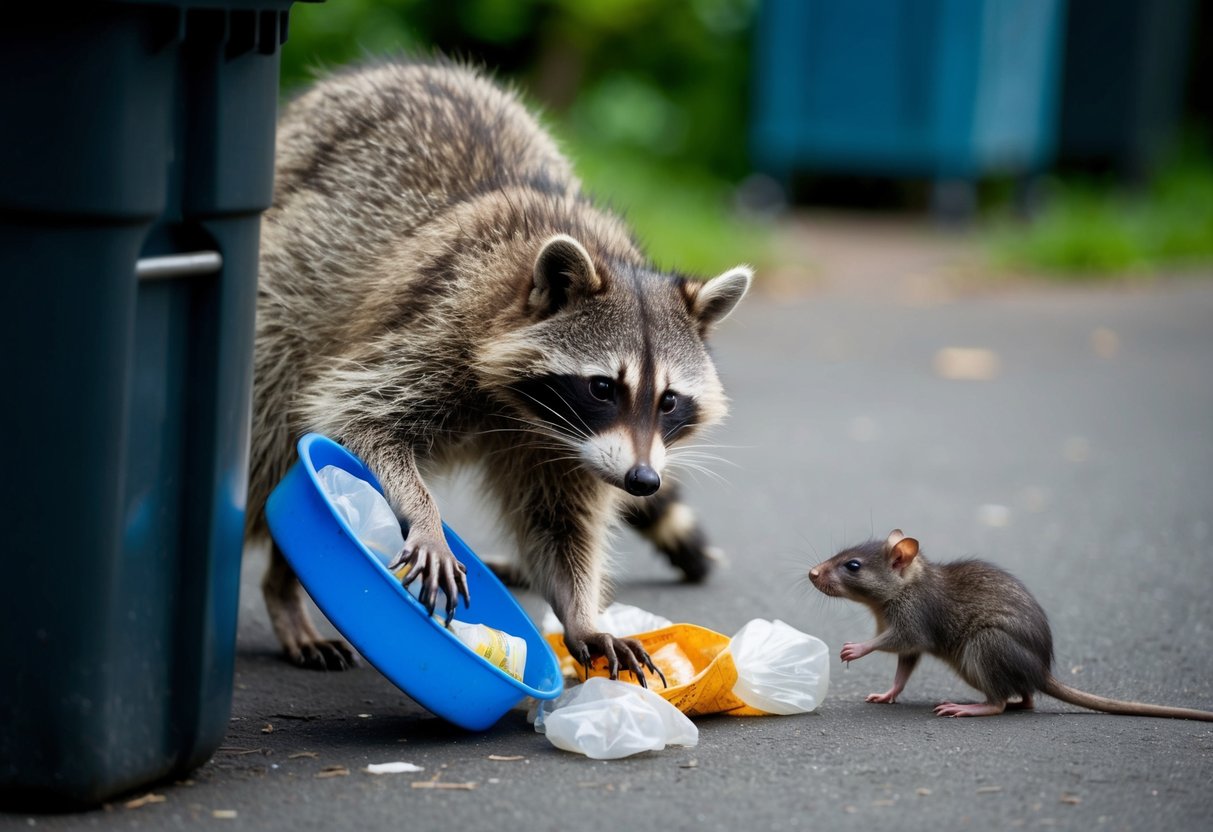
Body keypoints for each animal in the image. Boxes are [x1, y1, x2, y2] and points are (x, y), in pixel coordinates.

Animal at [247, 60, 751, 680]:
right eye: (603, 387)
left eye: (670, 400)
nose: (642, 481)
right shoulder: (439, 328)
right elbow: (357, 418)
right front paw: (424, 515)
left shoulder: (568, 448)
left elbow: (560, 520)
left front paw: (580, 613)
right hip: (281, 293)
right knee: (269, 430)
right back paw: (282, 583)